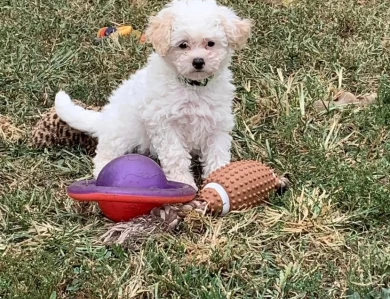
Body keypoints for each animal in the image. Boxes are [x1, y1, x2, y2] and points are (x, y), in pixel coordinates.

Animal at [54, 0, 250, 190]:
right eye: (183, 45)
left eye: (210, 43)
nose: (198, 62)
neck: (193, 86)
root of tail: (104, 118)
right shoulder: (165, 124)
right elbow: (176, 156)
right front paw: (184, 182)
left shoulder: (217, 122)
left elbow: (218, 152)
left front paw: (221, 178)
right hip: (121, 133)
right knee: (105, 153)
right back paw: (103, 171)